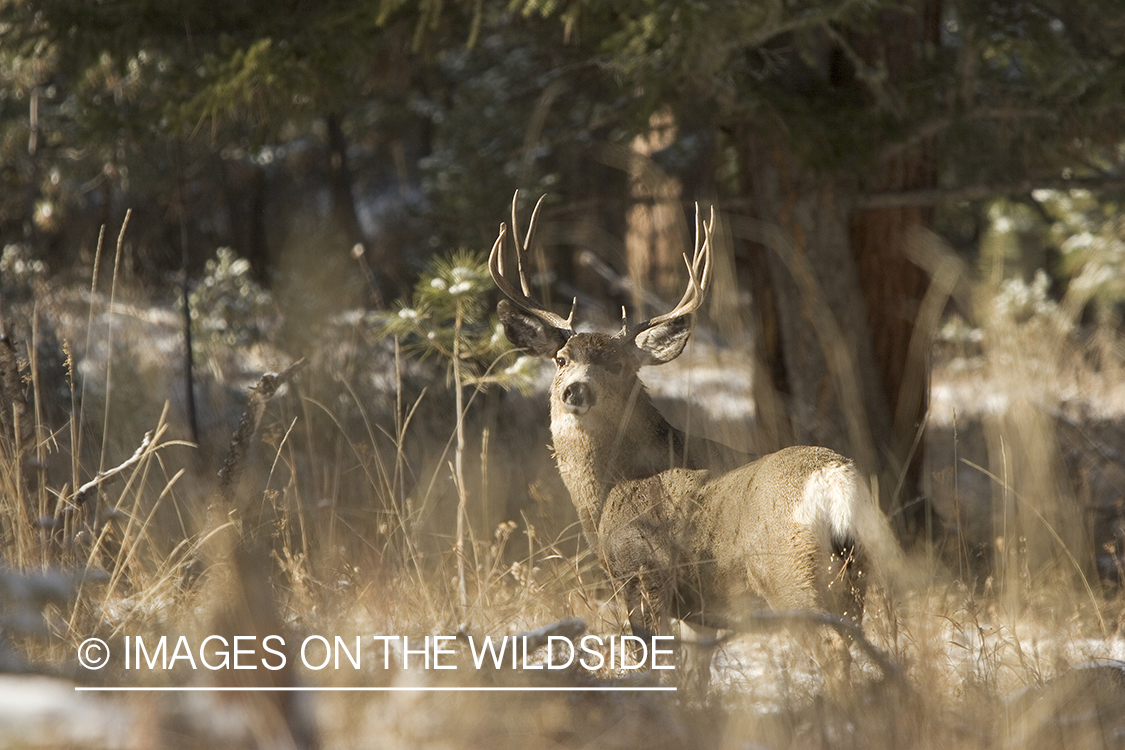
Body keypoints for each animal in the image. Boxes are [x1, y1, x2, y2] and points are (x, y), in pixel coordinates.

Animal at [490, 193, 905, 689]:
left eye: (619, 365)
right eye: (561, 358)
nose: (576, 391)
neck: (611, 488)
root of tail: (835, 480)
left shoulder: (641, 572)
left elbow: (653, 664)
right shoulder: (699, 612)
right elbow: (697, 676)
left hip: (789, 572)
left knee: (832, 647)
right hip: (855, 571)